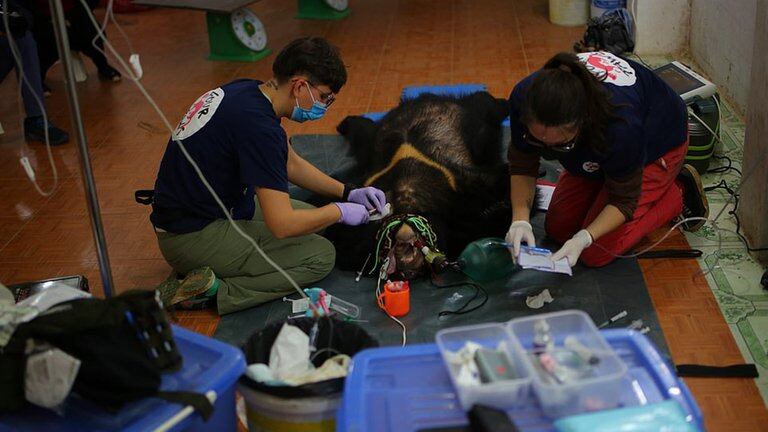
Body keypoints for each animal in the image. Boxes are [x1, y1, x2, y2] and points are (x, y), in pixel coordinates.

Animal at [326, 91, 512, 280]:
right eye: (388, 244)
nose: (405, 254)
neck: (407, 194)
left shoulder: (457, 190)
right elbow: (343, 243)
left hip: (472, 120)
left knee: (487, 105)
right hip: (375, 141)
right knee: (363, 132)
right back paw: (346, 123)